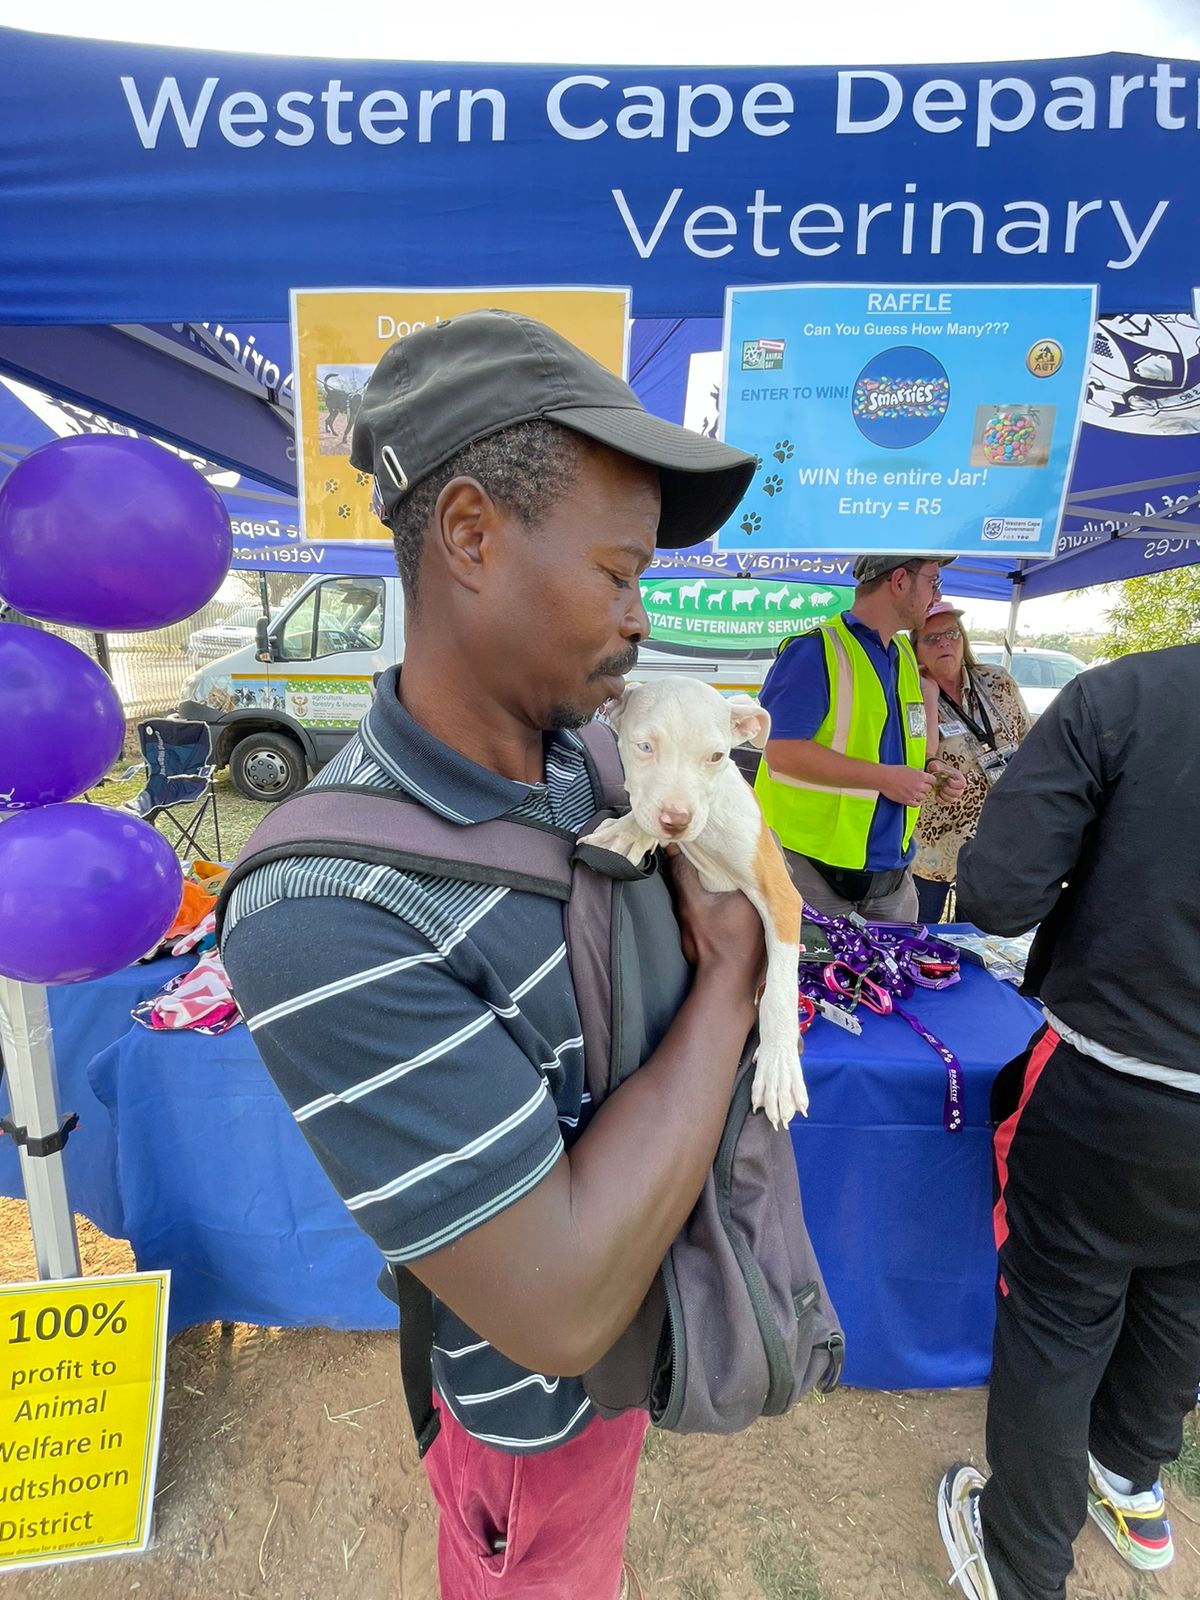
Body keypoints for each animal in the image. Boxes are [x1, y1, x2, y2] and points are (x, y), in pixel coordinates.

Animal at [582, 675, 809, 1126]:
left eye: (716, 757)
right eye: (644, 746)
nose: (677, 820)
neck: (706, 835)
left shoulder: (781, 893)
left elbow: (779, 989)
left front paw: (779, 1067)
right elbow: (641, 814)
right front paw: (628, 833)